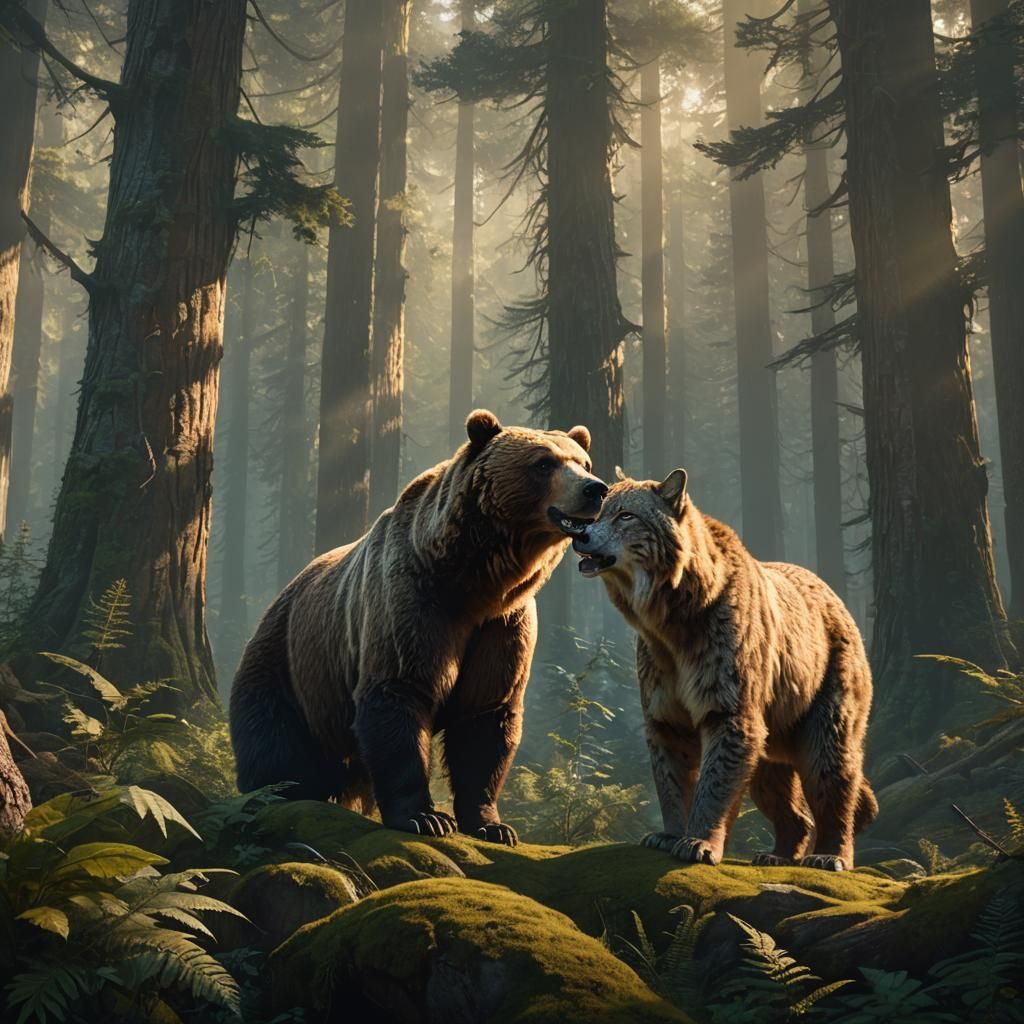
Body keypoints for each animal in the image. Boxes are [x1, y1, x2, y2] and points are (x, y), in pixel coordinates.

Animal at [229, 410, 607, 846]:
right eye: (544, 463)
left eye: (584, 462)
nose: (596, 489)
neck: (476, 581)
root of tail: (281, 595)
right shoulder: (413, 604)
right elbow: (399, 696)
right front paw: (425, 817)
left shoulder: (503, 626)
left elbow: (486, 718)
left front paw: (492, 825)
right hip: (291, 668)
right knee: (274, 747)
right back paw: (272, 798)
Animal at [563, 469, 876, 870]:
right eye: (597, 511)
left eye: (626, 515)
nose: (581, 536)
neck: (673, 621)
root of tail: (837, 600)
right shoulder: (663, 688)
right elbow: (671, 771)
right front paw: (667, 834)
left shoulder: (724, 681)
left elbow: (716, 774)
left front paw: (697, 842)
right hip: (775, 722)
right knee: (773, 783)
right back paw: (775, 853)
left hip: (825, 689)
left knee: (830, 769)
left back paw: (829, 854)